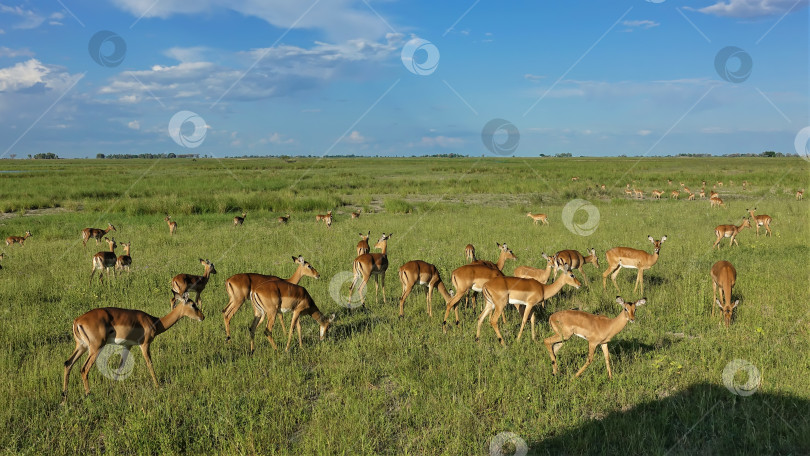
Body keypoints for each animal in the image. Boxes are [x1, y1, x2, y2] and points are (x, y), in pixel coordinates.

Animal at [61, 292, 204, 402]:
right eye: (193, 304)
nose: (202, 316)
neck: (155, 322)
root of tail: (77, 321)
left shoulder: (127, 345)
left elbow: (119, 367)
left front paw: (111, 389)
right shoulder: (144, 344)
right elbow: (149, 364)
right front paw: (158, 387)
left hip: (82, 346)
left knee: (68, 363)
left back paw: (64, 398)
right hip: (95, 348)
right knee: (84, 369)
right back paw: (88, 395)